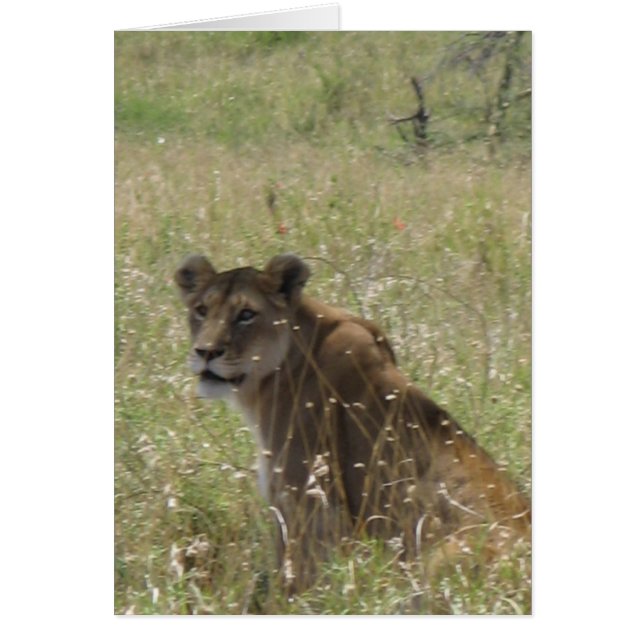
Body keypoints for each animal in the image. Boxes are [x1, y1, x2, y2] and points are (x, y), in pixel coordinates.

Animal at [175, 253, 531, 590]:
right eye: (202, 310)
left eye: (246, 314)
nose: (205, 352)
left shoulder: (307, 502)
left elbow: (293, 580)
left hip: (440, 560)